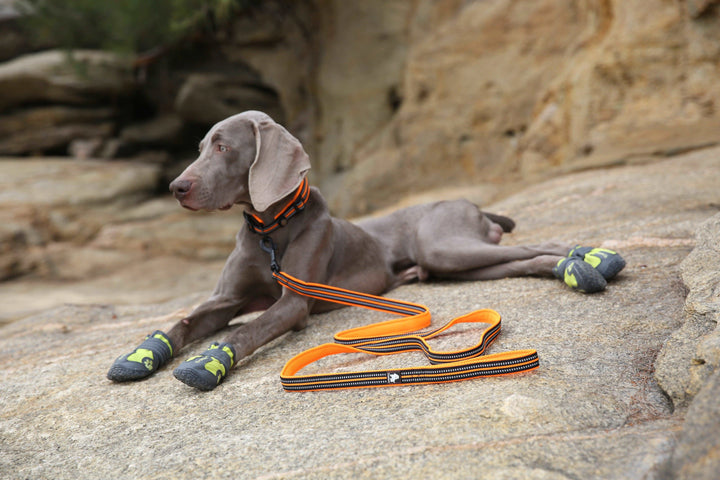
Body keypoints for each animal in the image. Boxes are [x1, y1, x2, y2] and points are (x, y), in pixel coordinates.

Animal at [107, 109, 624, 390]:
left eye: (222, 147)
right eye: (199, 147)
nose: (176, 187)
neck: (269, 231)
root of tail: (471, 203)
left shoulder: (293, 303)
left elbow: (247, 330)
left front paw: (207, 363)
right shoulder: (226, 298)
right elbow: (184, 321)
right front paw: (141, 356)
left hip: (443, 243)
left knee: (539, 246)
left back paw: (590, 263)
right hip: (453, 265)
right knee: (523, 259)